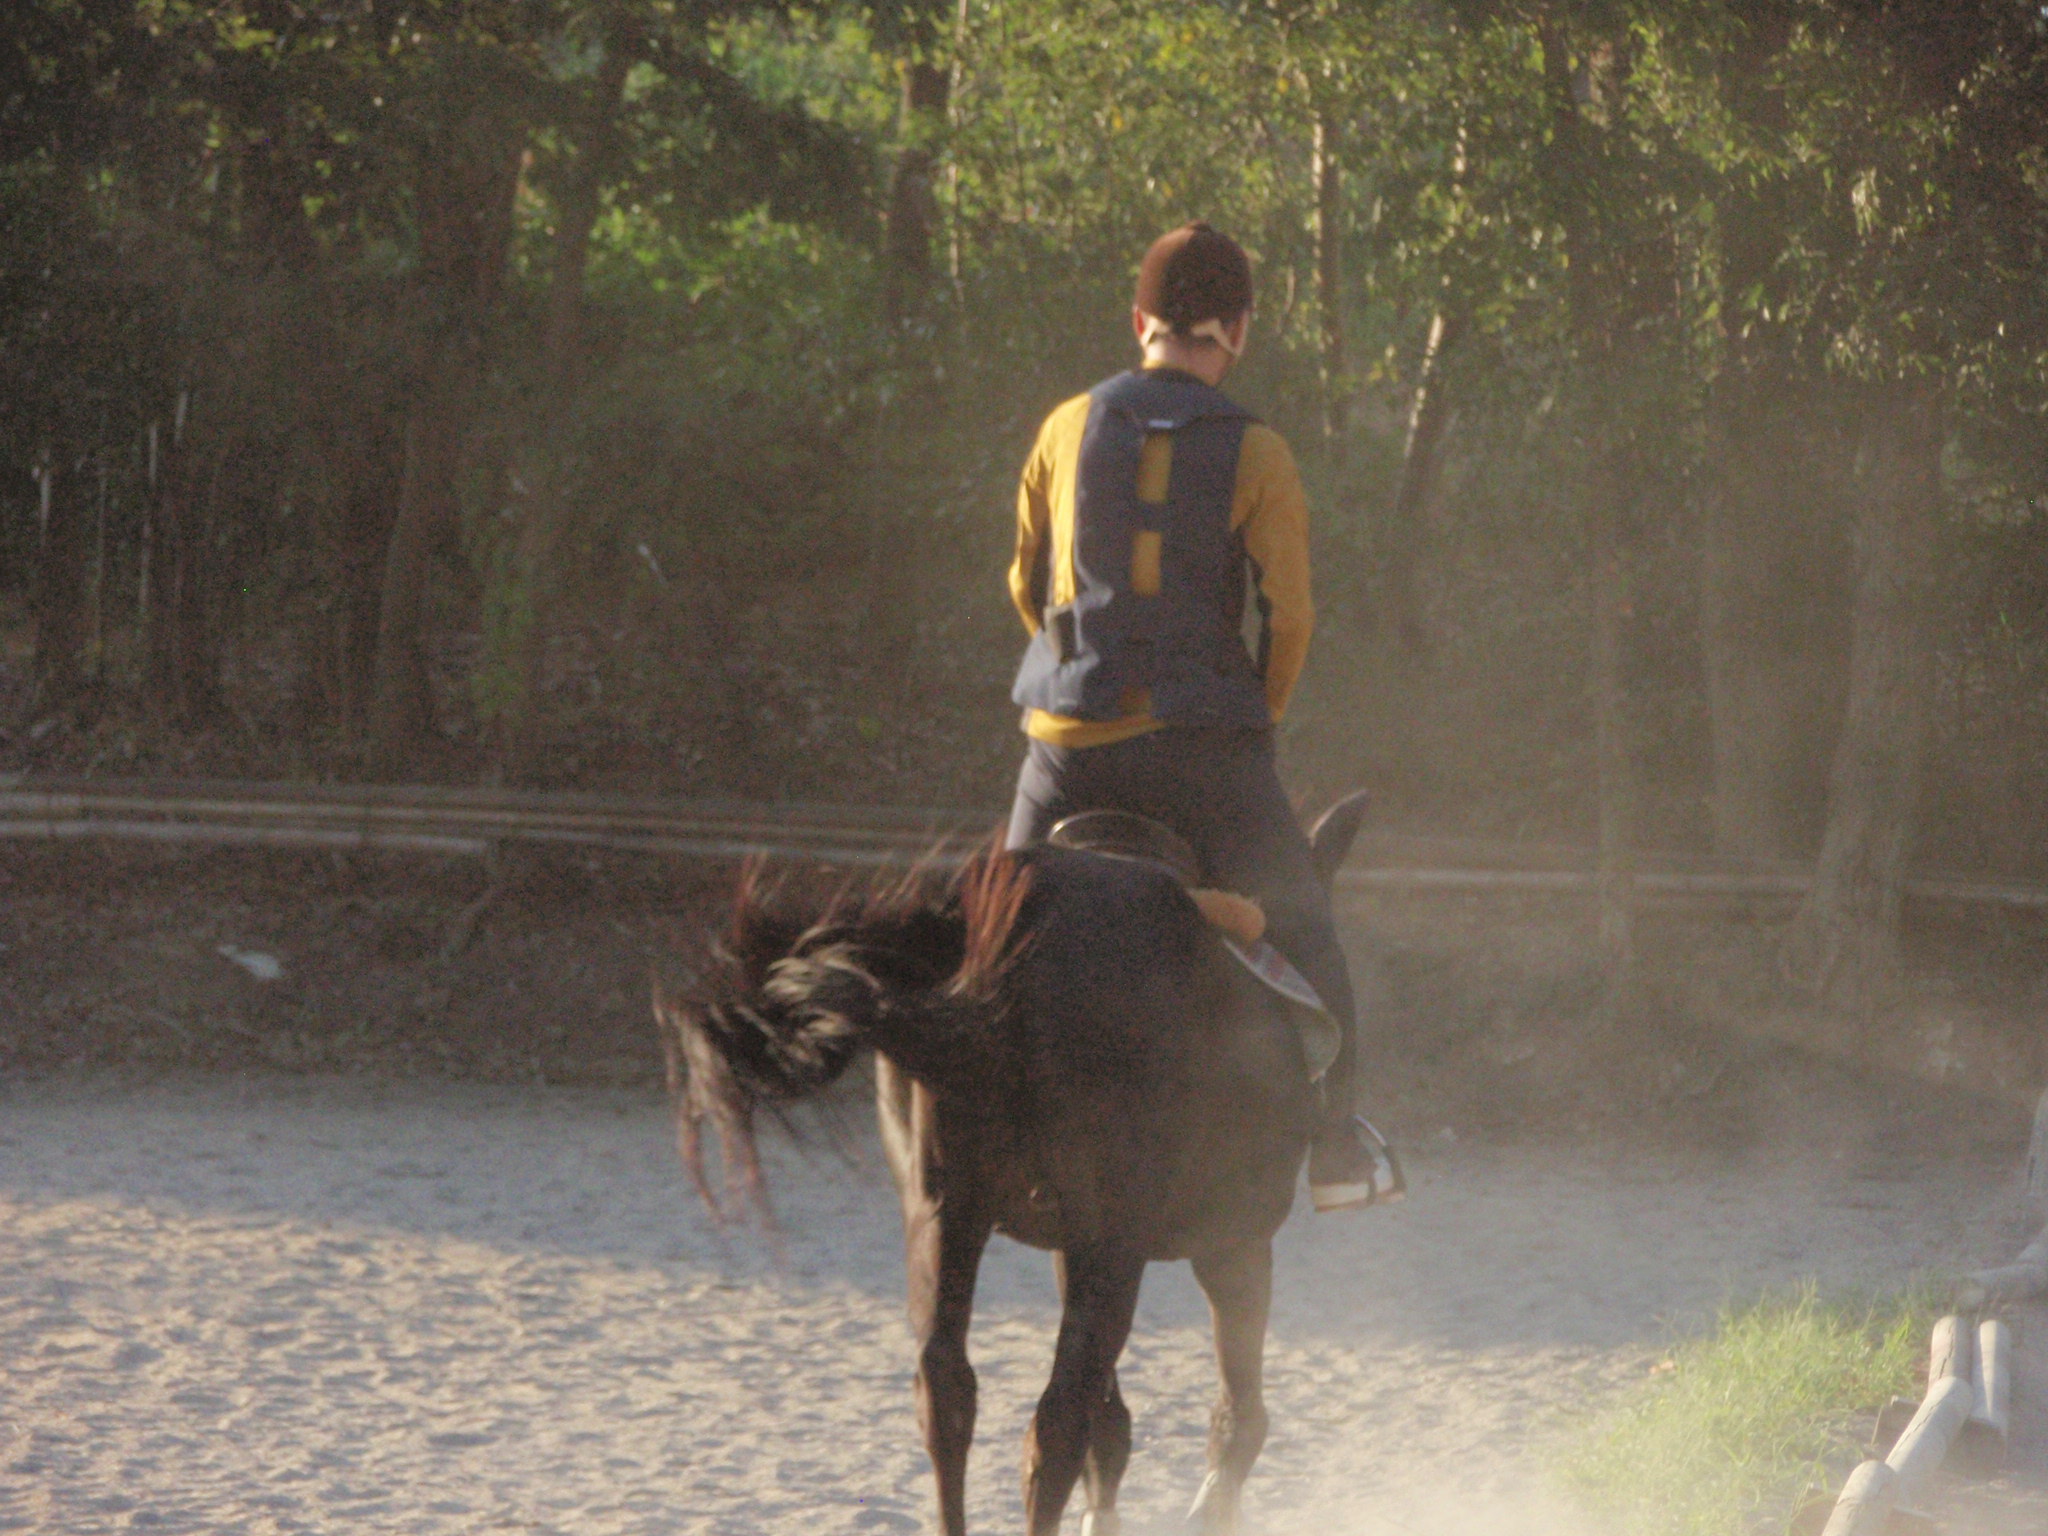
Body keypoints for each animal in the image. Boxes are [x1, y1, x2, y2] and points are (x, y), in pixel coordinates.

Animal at [655, 793, 1371, 1536]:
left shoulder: (1062, 1242)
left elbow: (1118, 1428)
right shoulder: (1231, 1248)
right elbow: (1233, 1421)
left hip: (947, 1216)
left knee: (948, 1392)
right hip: (1112, 1247)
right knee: (1058, 1419)